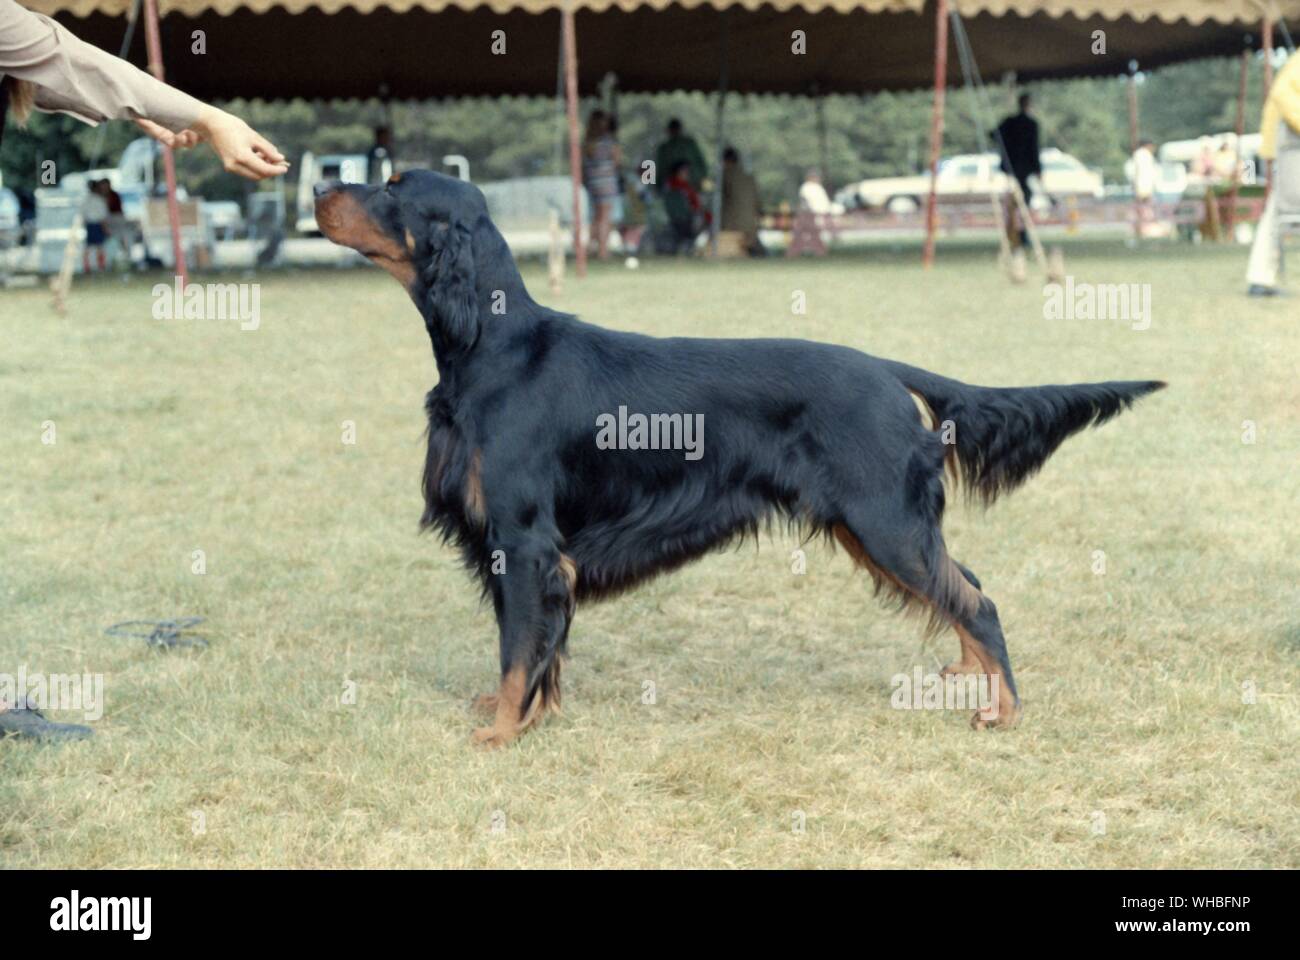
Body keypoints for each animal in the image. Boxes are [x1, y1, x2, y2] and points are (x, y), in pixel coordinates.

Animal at [317, 170, 1170, 738]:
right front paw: (531, 716)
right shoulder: (527, 547)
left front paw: (500, 731)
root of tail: (887, 370)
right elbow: (538, 647)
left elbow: (518, 647)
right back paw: (970, 677)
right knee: (969, 588)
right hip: (876, 527)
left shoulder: (522, 539)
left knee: (980, 602)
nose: (321, 181)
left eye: (391, 187)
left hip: (885, 522)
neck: (492, 346)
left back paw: (1004, 708)